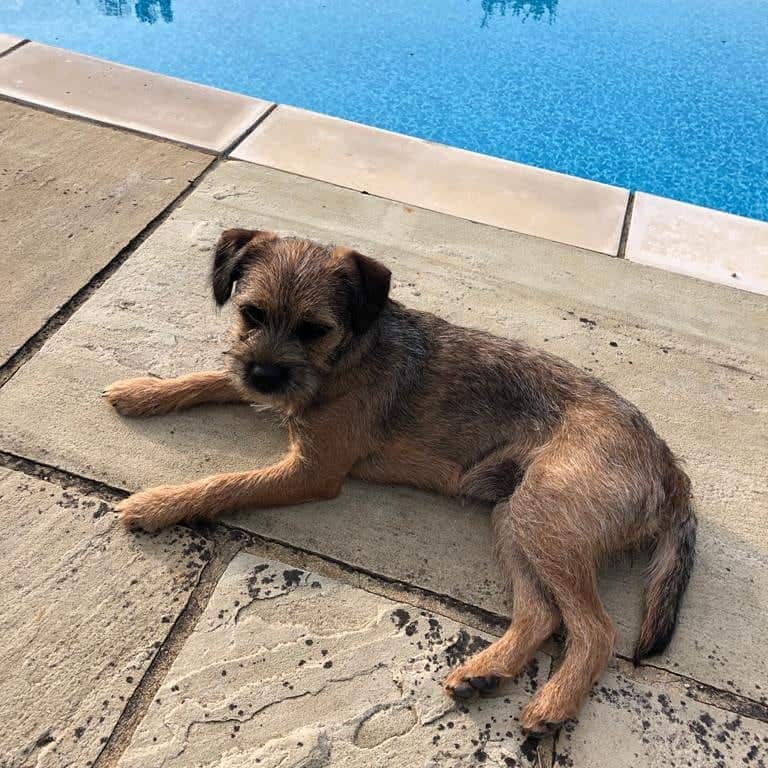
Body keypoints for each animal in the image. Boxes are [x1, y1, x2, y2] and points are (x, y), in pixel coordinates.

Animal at [105, 226, 700, 732]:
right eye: (251, 313)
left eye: (314, 329)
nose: (265, 375)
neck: (349, 354)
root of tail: (671, 471)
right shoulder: (259, 387)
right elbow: (211, 377)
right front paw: (143, 391)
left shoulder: (311, 471)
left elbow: (226, 483)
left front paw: (157, 504)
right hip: (515, 514)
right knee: (541, 614)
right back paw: (484, 670)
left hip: (546, 512)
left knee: (596, 630)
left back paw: (553, 703)